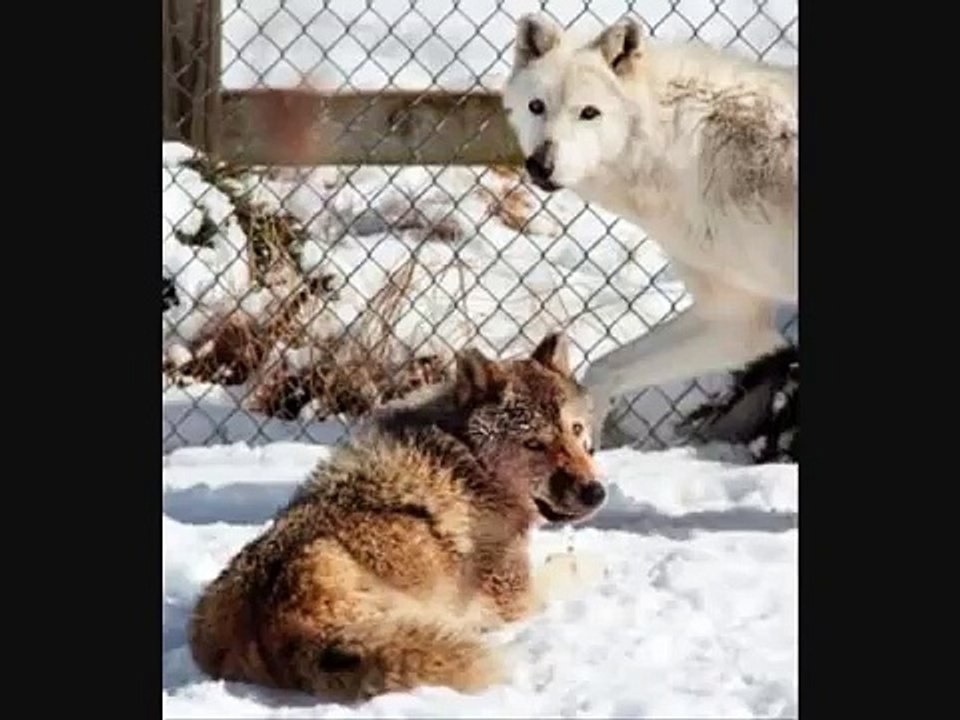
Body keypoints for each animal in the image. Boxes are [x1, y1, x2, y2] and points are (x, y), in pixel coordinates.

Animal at [187, 332, 605, 701]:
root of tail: (277, 625)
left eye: (575, 429)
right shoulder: (517, 599)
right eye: (534, 444)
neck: (469, 462)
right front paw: (592, 562)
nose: (595, 492)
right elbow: (568, 567)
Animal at [502, 14, 798, 449]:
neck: (686, 149)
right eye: (536, 106)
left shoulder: (746, 322)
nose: (541, 165)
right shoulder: (733, 315)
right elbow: (602, 370)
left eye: (589, 113)